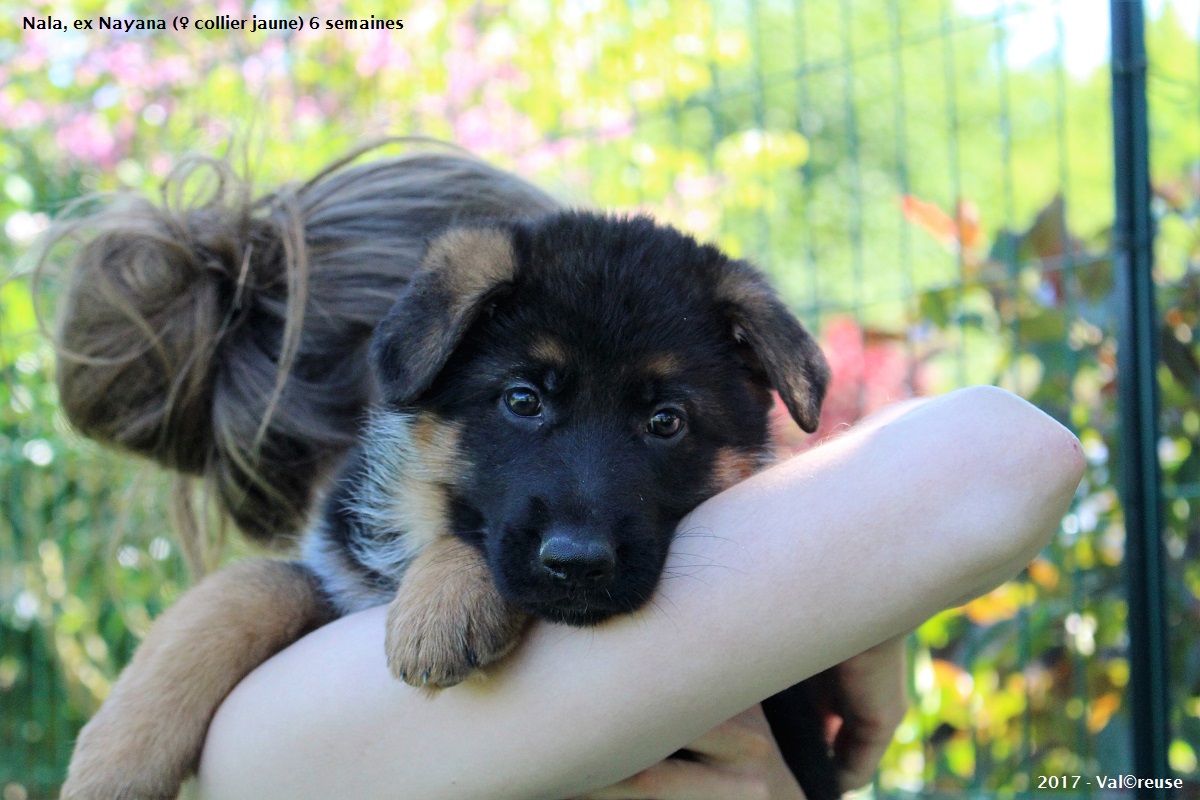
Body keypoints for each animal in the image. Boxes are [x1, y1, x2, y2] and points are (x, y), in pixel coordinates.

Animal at [61, 210, 837, 799]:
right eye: (522, 400)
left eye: (667, 421)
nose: (577, 563)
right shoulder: (340, 572)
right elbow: (245, 586)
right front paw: (116, 760)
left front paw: (442, 602)